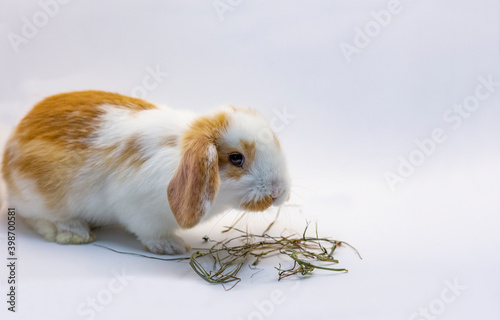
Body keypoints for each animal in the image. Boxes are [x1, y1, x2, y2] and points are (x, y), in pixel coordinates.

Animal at [0, 90, 290, 255]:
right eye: (236, 158)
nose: (279, 192)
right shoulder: (139, 210)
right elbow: (150, 232)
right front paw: (172, 246)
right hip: (42, 197)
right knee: (39, 218)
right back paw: (76, 233)